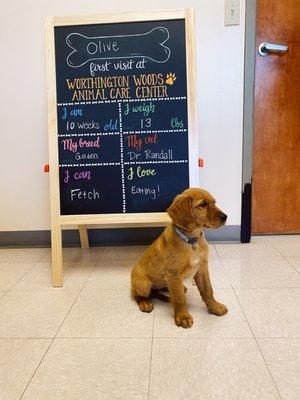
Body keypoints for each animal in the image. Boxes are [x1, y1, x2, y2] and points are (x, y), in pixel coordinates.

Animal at [131, 188, 227, 328]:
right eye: (203, 204)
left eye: (214, 203)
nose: (225, 217)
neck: (192, 241)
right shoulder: (173, 274)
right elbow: (179, 298)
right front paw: (183, 317)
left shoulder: (202, 269)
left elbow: (208, 290)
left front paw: (215, 307)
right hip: (143, 284)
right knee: (137, 294)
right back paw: (145, 302)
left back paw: (181, 287)